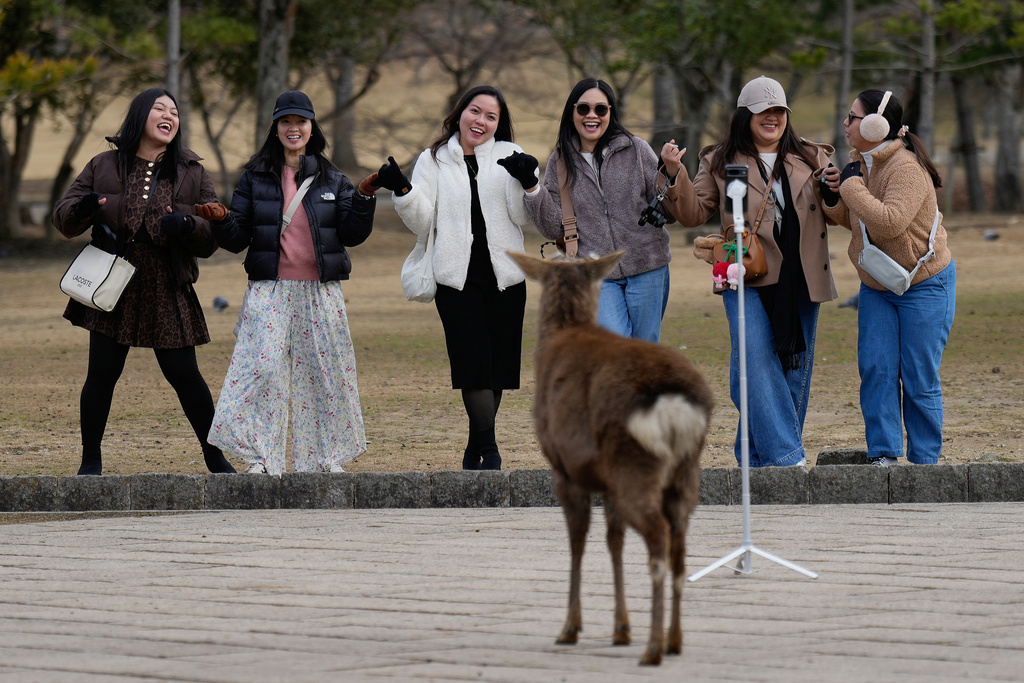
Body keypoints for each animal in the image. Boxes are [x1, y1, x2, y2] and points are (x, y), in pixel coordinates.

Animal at [508, 250, 714, 666]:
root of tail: (674, 403)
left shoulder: (564, 468)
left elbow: (577, 541)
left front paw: (570, 628)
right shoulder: (605, 480)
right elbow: (613, 540)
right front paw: (621, 628)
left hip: (634, 464)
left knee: (658, 540)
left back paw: (652, 649)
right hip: (682, 473)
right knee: (679, 547)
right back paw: (673, 641)